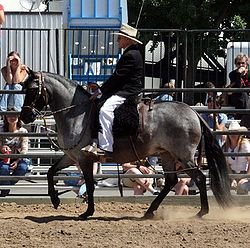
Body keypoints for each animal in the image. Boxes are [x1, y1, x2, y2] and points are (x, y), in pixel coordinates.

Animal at [19, 70, 232, 219]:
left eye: (32, 90)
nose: (24, 116)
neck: (77, 114)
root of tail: (193, 112)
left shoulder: (85, 159)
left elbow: (89, 185)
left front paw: (88, 212)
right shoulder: (72, 156)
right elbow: (50, 172)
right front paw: (55, 199)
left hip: (184, 157)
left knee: (199, 178)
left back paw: (201, 212)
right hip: (167, 155)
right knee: (171, 181)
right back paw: (150, 211)